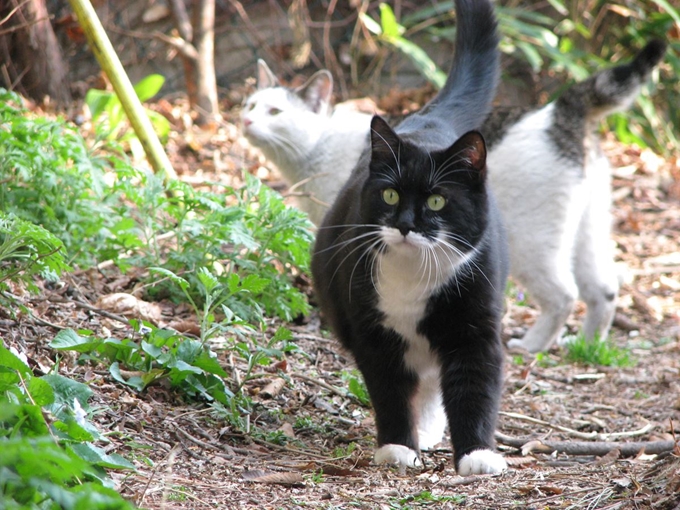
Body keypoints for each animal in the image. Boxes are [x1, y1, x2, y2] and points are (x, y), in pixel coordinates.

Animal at [240, 39, 668, 352]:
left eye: (275, 112)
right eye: (250, 104)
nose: (245, 119)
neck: (319, 144)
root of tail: (559, 112)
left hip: (533, 240)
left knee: (565, 294)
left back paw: (532, 345)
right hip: (587, 228)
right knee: (604, 290)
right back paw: (588, 347)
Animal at [310, 0, 508, 474]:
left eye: (436, 201)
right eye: (389, 194)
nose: (404, 223)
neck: (413, 276)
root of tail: (430, 119)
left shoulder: (477, 325)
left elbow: (475, 385)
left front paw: (477, 454)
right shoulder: (372, 330)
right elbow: (389, 389)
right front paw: (398, 446)